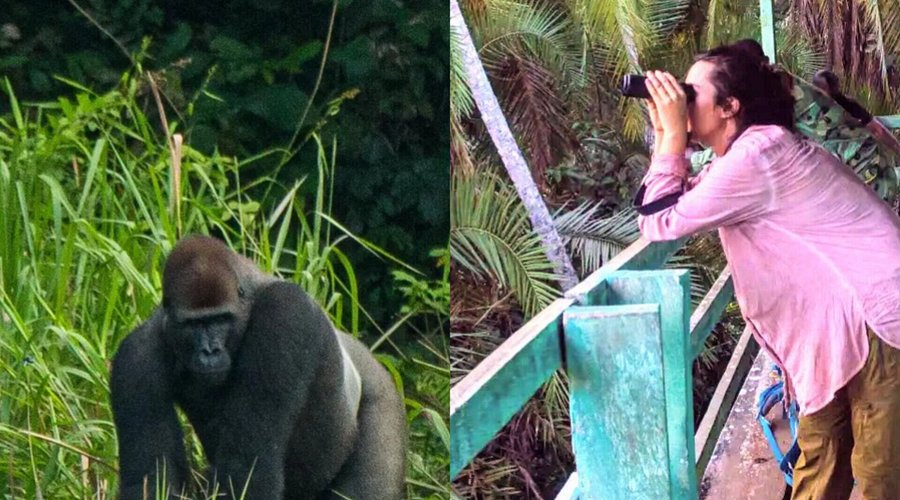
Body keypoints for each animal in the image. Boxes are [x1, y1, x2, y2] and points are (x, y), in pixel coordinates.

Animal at [110, 235, 407, 499]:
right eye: (193, 324)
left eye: (220, 319)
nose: (209, 351)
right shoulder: (135, 357)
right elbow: (151, 477)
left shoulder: (285, 313)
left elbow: (248, 467)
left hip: (383, 397)